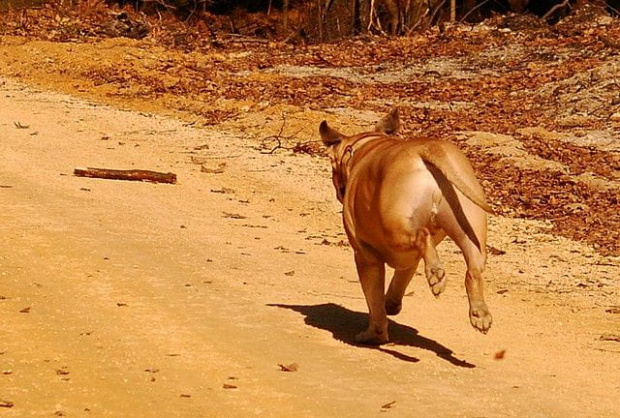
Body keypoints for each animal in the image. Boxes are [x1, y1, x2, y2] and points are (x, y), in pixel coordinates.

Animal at [322, 108, 492, 346]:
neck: (366, 146)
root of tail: (427, 149)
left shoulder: (365, 257)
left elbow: (374, 301)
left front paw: (374, 334)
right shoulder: (408, 260)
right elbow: (399, 281)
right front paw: (391, 304)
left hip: (395, 229)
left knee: (423, 236)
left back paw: (436, 273)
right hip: (468, 227)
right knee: (473, 270)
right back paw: (479, 313)